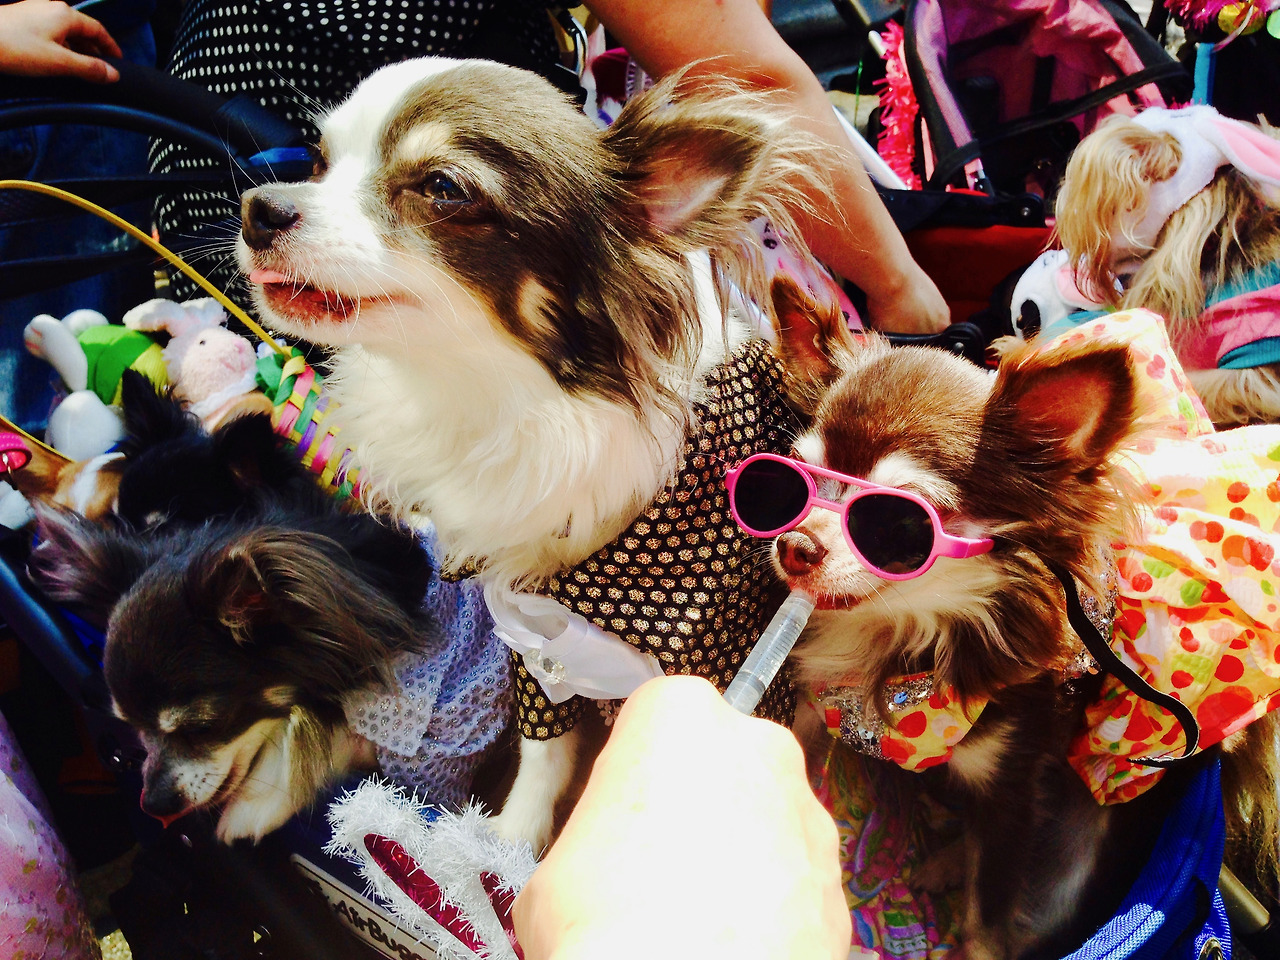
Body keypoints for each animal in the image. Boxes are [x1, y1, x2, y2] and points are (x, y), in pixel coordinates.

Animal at [234, 57, 828, 850]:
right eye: (318, 162)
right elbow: (546, 754)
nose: (260, 207)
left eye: (443, 188)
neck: (507, 411)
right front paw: (507, 850)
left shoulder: (729, 669)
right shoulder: (538, 653)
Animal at [745, 280, 1280, 957]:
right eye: (795, 481)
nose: (795, 546)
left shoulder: (1011, 787)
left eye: (898, 520)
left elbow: (987, 917)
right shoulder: (818, 713)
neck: (902, 635)